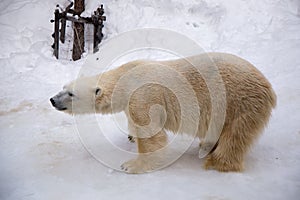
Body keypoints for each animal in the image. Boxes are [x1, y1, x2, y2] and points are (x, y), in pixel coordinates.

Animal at [49, 53, 276, 173]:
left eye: (71, 93)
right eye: (63, 87)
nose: (52, 100)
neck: (126, 78)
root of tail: (269, 88)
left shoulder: (144, 96)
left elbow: (150, 134)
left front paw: (132, 165)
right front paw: (131, 136)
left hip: (239, 103)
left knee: (235, 136)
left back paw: (215, 162)